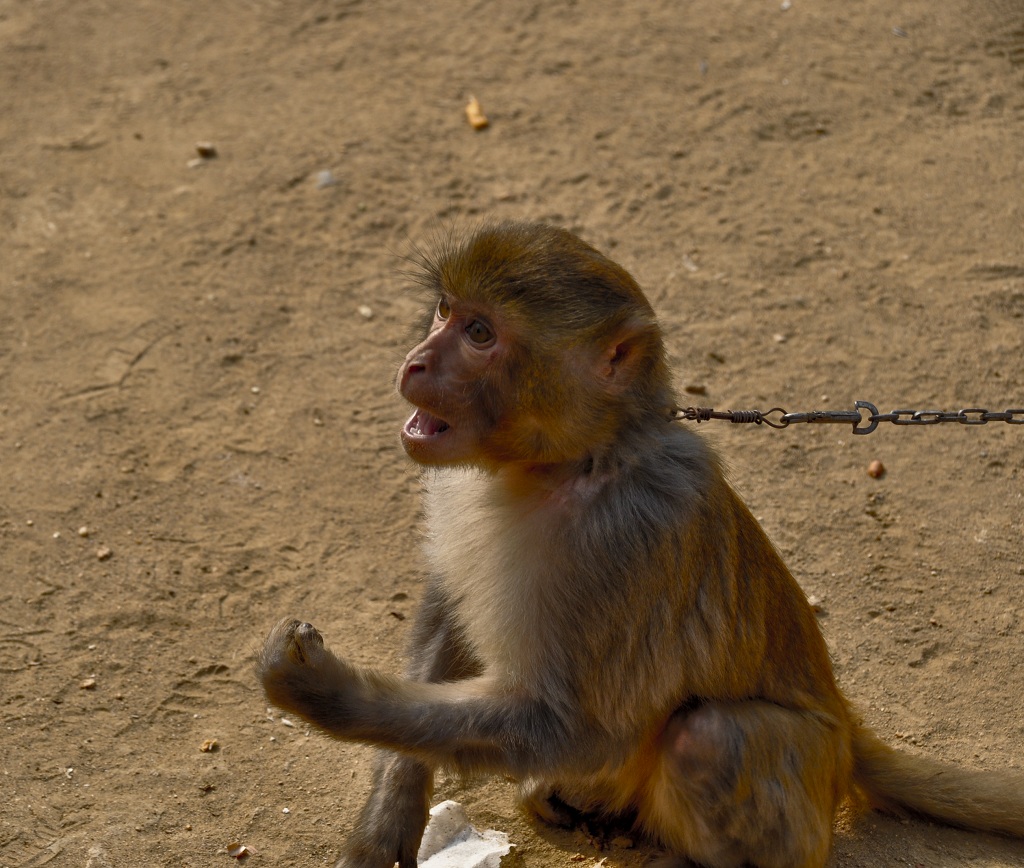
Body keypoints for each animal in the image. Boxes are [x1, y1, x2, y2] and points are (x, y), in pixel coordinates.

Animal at [256, 222, 1024, 868]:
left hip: (806, 782)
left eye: (479, 334)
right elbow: (450, 605)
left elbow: (580, 725)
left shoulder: (628, 535)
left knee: (709, 740)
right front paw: (388, 815)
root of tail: (844, 725)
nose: (415, 363)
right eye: (444, 311)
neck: (569, 463)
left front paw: (326, 693)